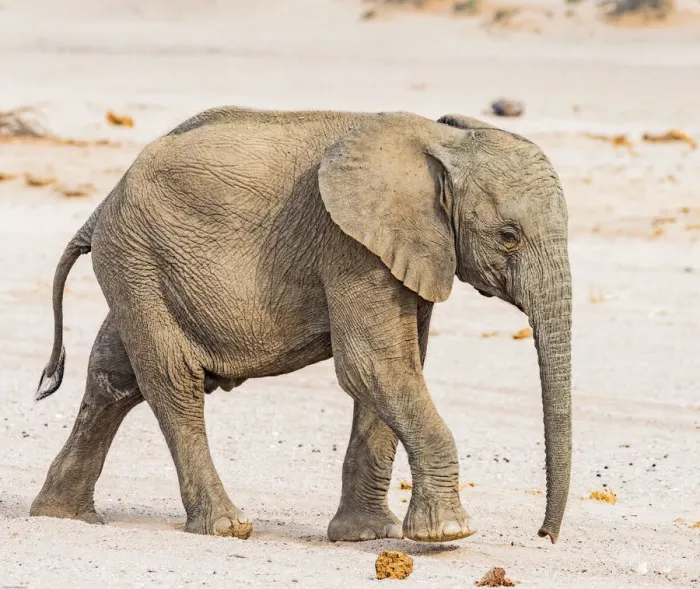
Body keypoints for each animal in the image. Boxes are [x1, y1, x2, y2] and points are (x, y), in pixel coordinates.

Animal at [30, 107, 572, 544]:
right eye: (508, 236)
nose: (543, 536)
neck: (440, 141)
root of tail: (104, 202)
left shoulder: (402, 250)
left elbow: (394, 369)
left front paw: (367, 536)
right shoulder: (351, 245)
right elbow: (372, 366)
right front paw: (448, 534)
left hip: (137, 268)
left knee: (114, 377)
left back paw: (62, 516)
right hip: (138, 258)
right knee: (172, 381)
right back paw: (227, 527)